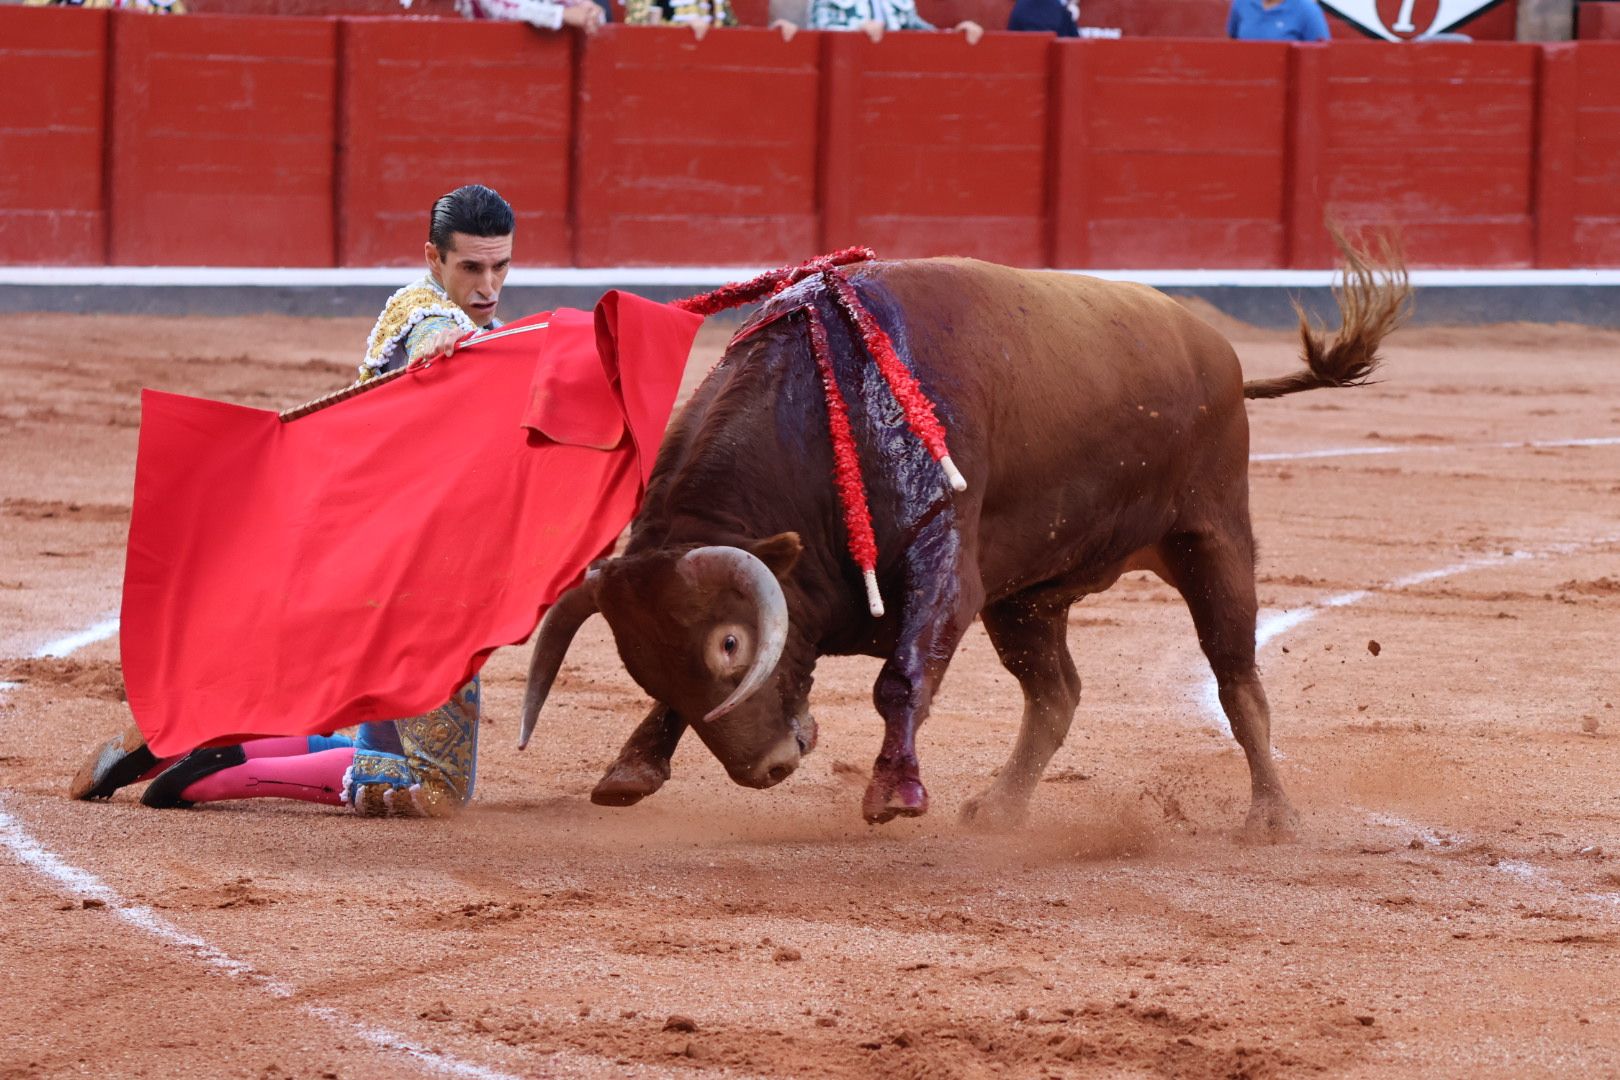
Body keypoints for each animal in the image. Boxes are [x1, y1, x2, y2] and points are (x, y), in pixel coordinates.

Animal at [524, 244, 1412, 835]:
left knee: (1235, 679)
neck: (823, 413)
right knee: (1056, 695)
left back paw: (1272, 817)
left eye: (733, 644)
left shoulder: (946, 560)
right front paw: (629, 770)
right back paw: (1000, 806)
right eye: (641, 661)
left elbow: (902, 677)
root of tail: (1217, 353)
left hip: (1212, 536)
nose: (766, 768)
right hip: (1031, 598)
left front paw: (894, 795)